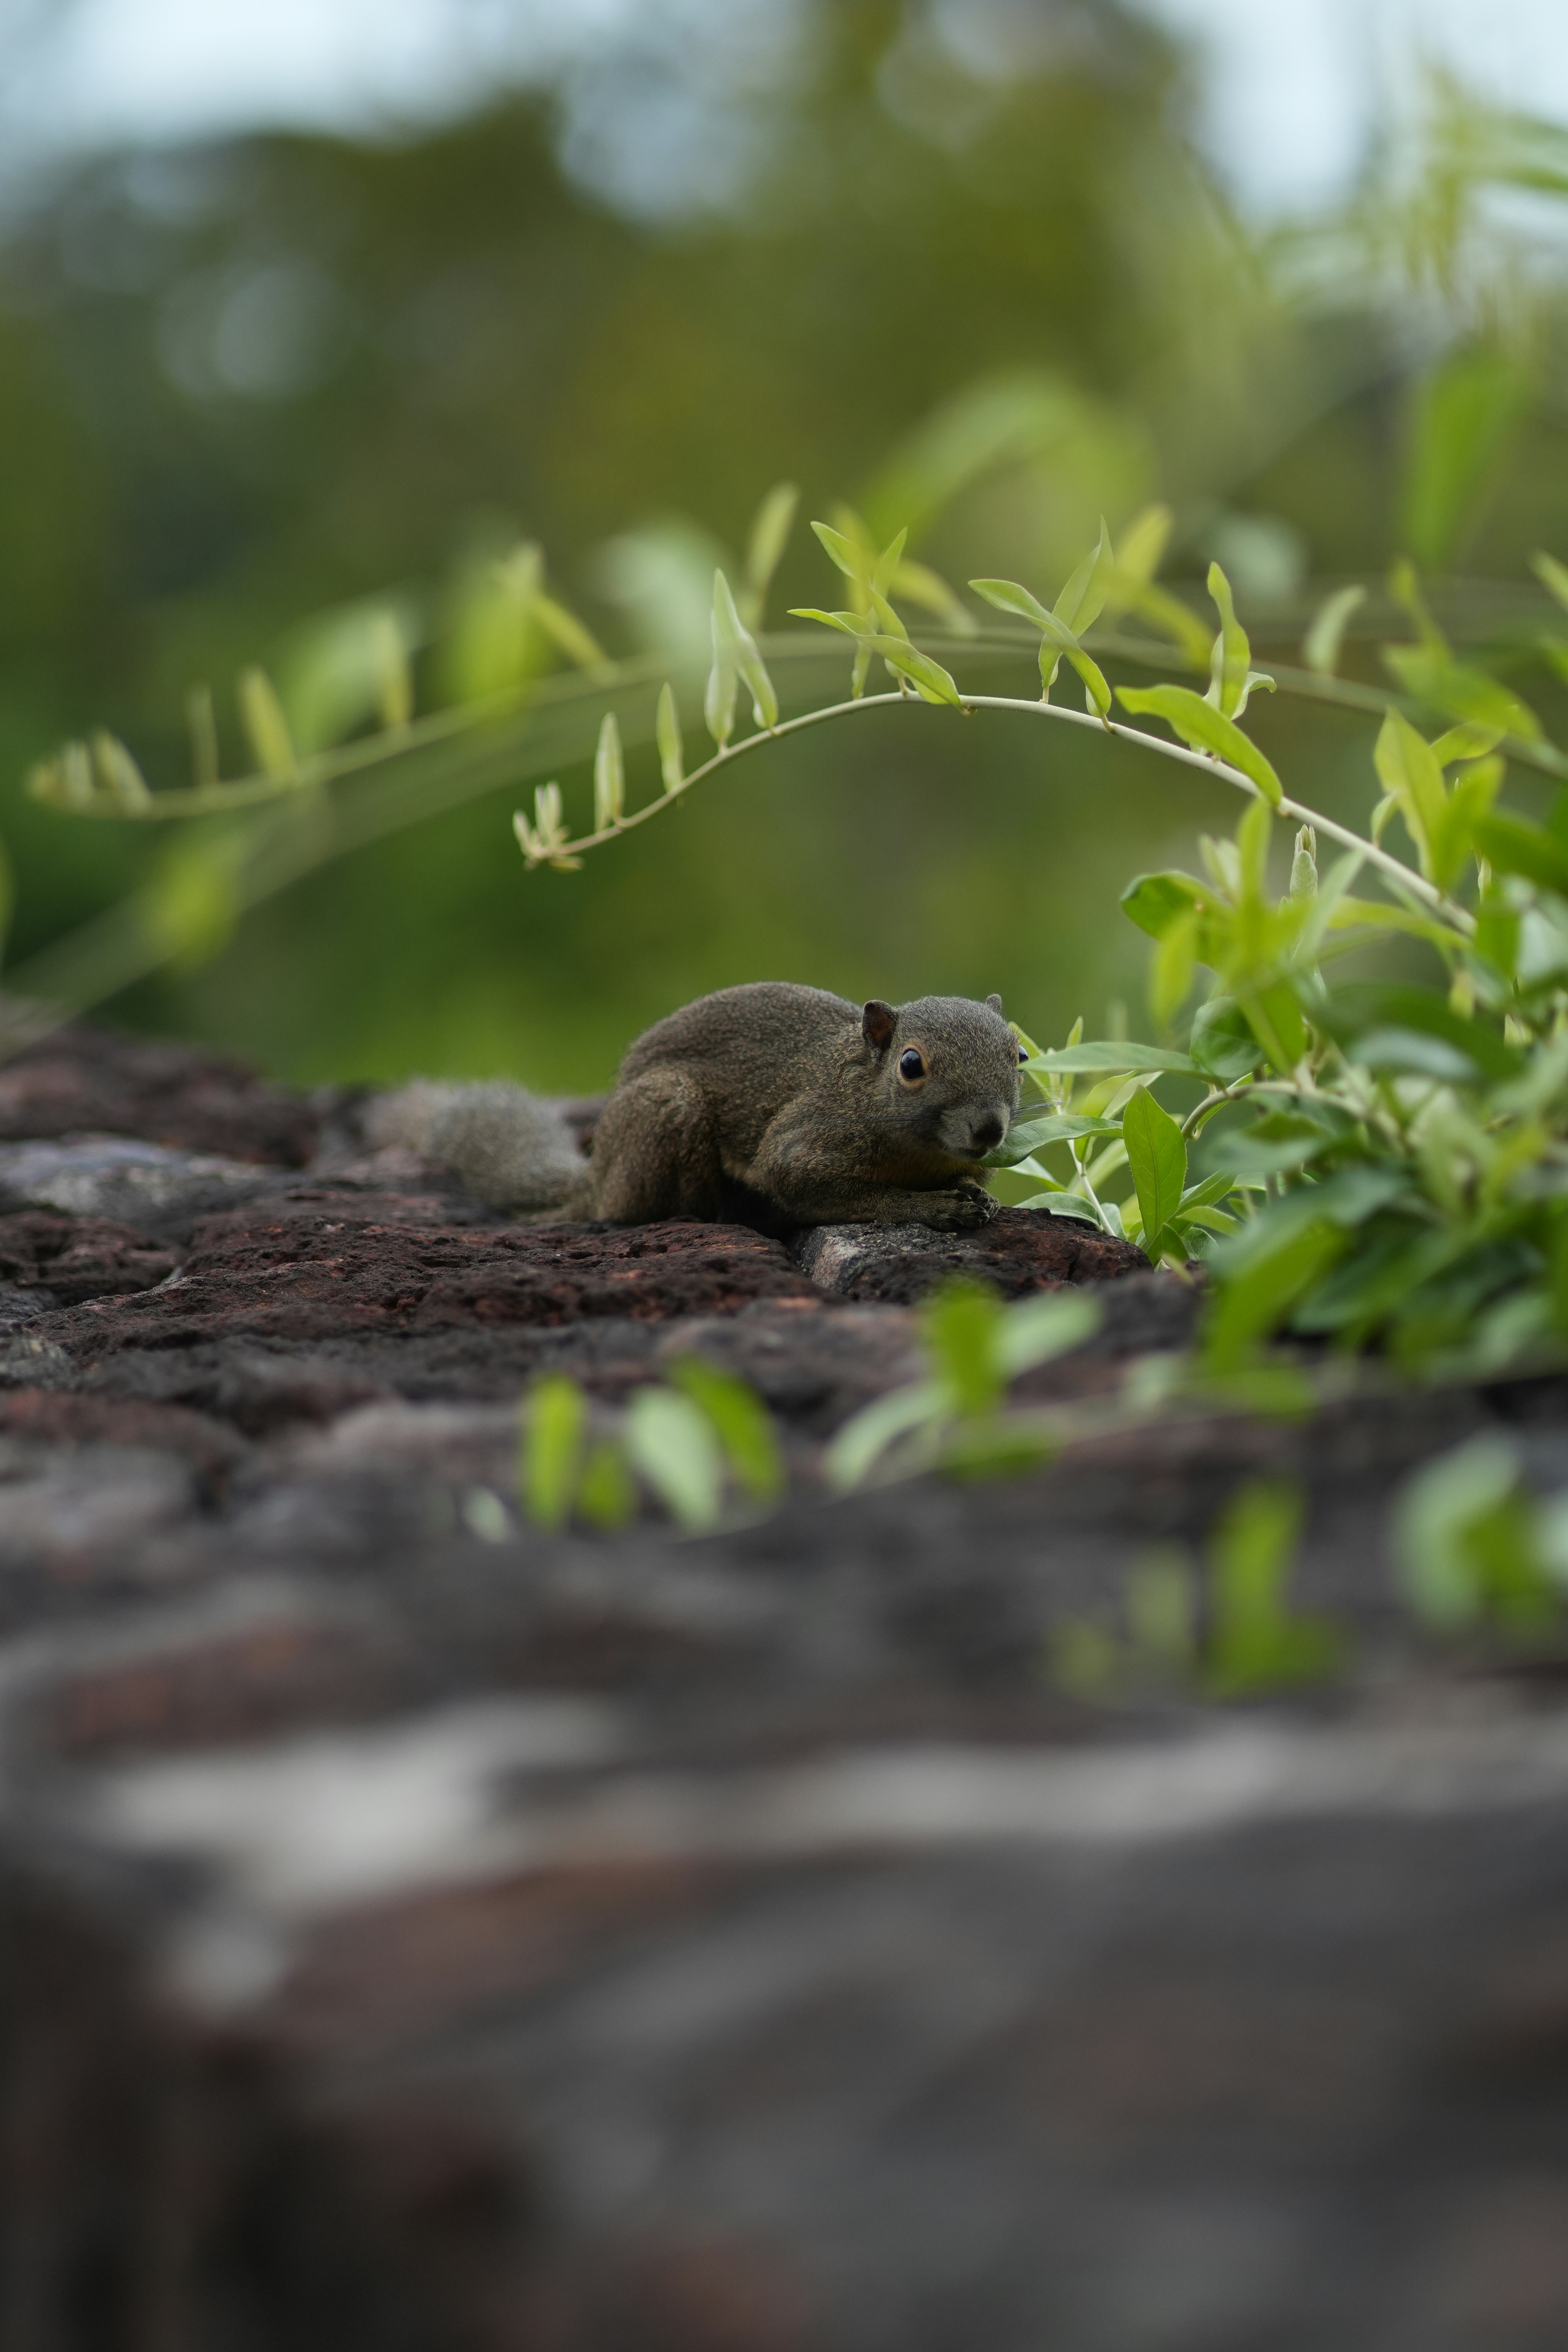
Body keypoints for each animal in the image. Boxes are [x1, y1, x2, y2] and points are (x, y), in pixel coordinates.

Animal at [366, 983, 1023, 1233]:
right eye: (911, 1066)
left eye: (1019, 1054)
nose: (990, 1129)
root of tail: (598, 1172)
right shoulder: (803, 1144)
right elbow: (842, 1195)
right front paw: (936, 1209)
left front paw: (978, 1195)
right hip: (668, 1111)